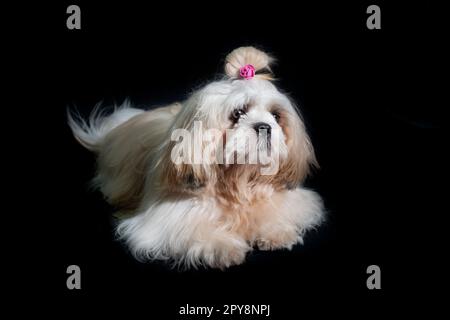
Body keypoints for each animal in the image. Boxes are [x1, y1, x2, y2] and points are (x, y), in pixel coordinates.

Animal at [68, 46, 324, 268]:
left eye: (276, 116)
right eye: (238, 113)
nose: (264, 127)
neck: (236, 182)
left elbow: (275, 212)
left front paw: (276, 231)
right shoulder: (165, 221)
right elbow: (194, 230)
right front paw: (223, 246)